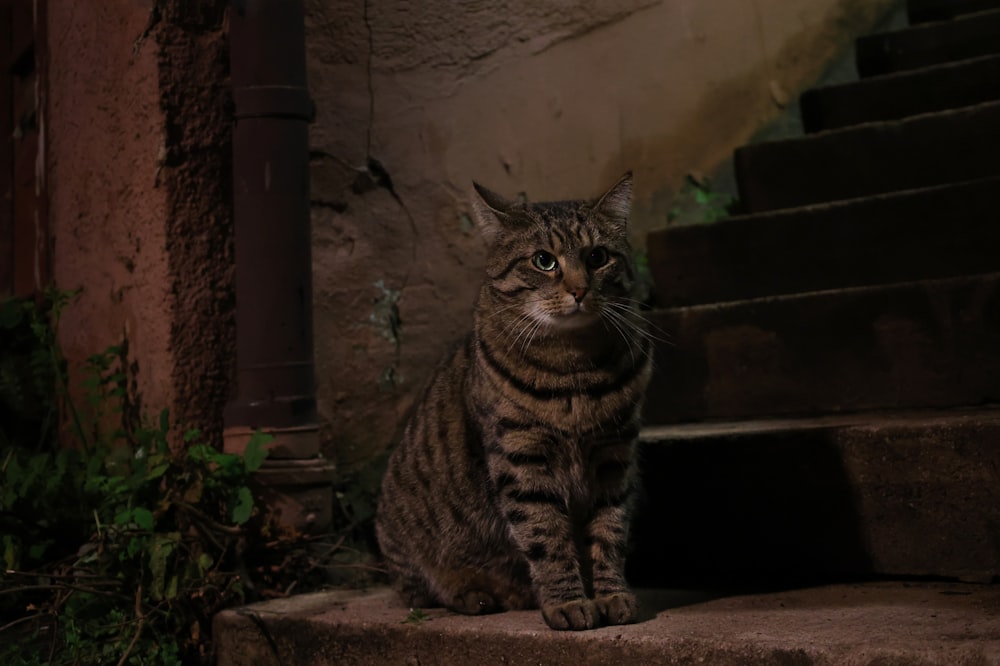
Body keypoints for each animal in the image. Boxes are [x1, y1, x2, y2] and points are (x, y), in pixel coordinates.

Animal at [376, 171, 656, 628]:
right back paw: (479, 595)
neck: (574, 369)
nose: (579, 290)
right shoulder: (522, 457)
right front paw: (568, 603)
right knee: (423, 593)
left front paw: (612, 595)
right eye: (544, 261)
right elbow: (546, 534)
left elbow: (609, 530)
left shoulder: (615, 455)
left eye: (598, 257)